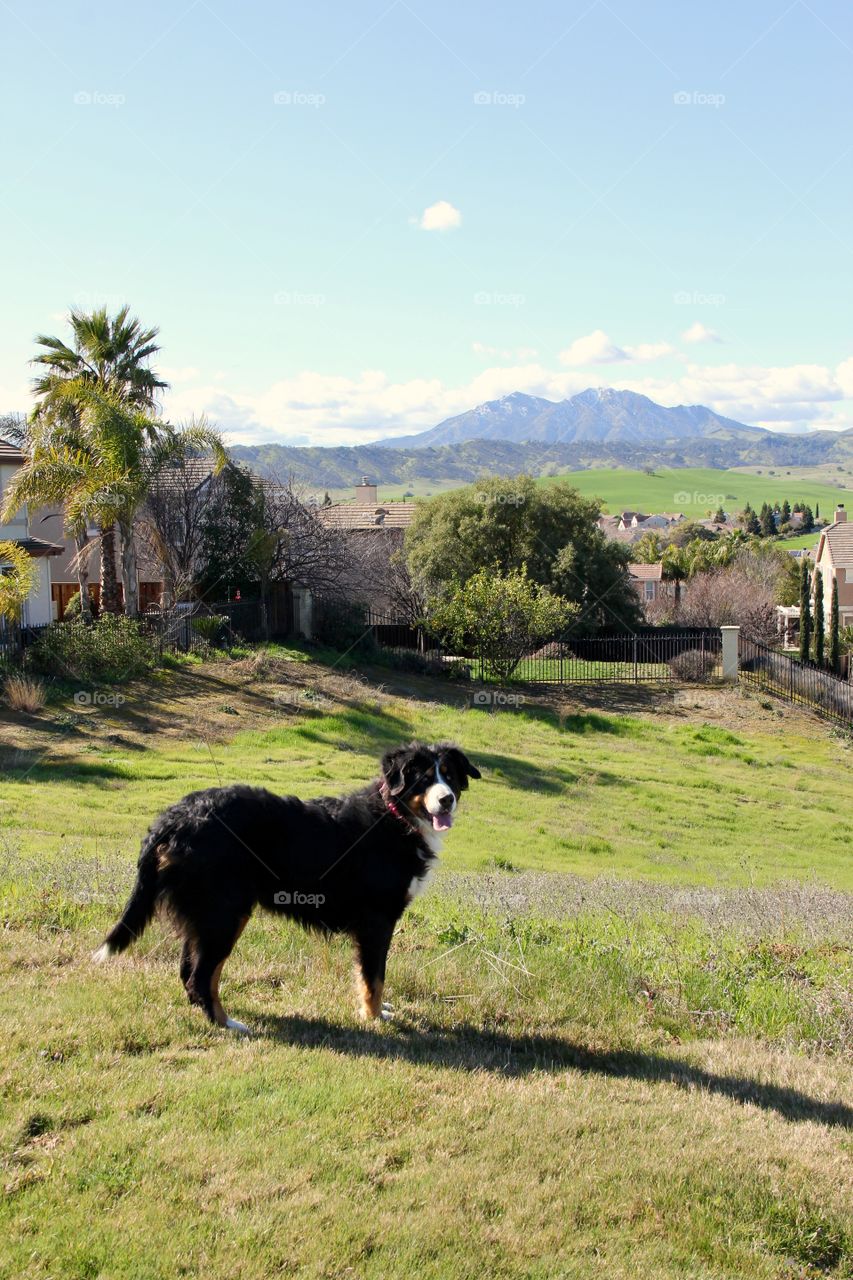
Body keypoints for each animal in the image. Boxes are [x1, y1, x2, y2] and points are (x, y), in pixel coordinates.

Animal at [94, 742, 479, 1029]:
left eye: (450, 776)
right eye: (424, 779)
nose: (447, 799)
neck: (395, 817)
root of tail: (172, 818)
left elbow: (369, 977)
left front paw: (377, 1012)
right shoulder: (377, 920)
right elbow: (374, 978)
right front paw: (373, 1017)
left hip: (209, 916)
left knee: (189, 971)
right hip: (225, 913)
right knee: (200, 975)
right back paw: (226, 1023)